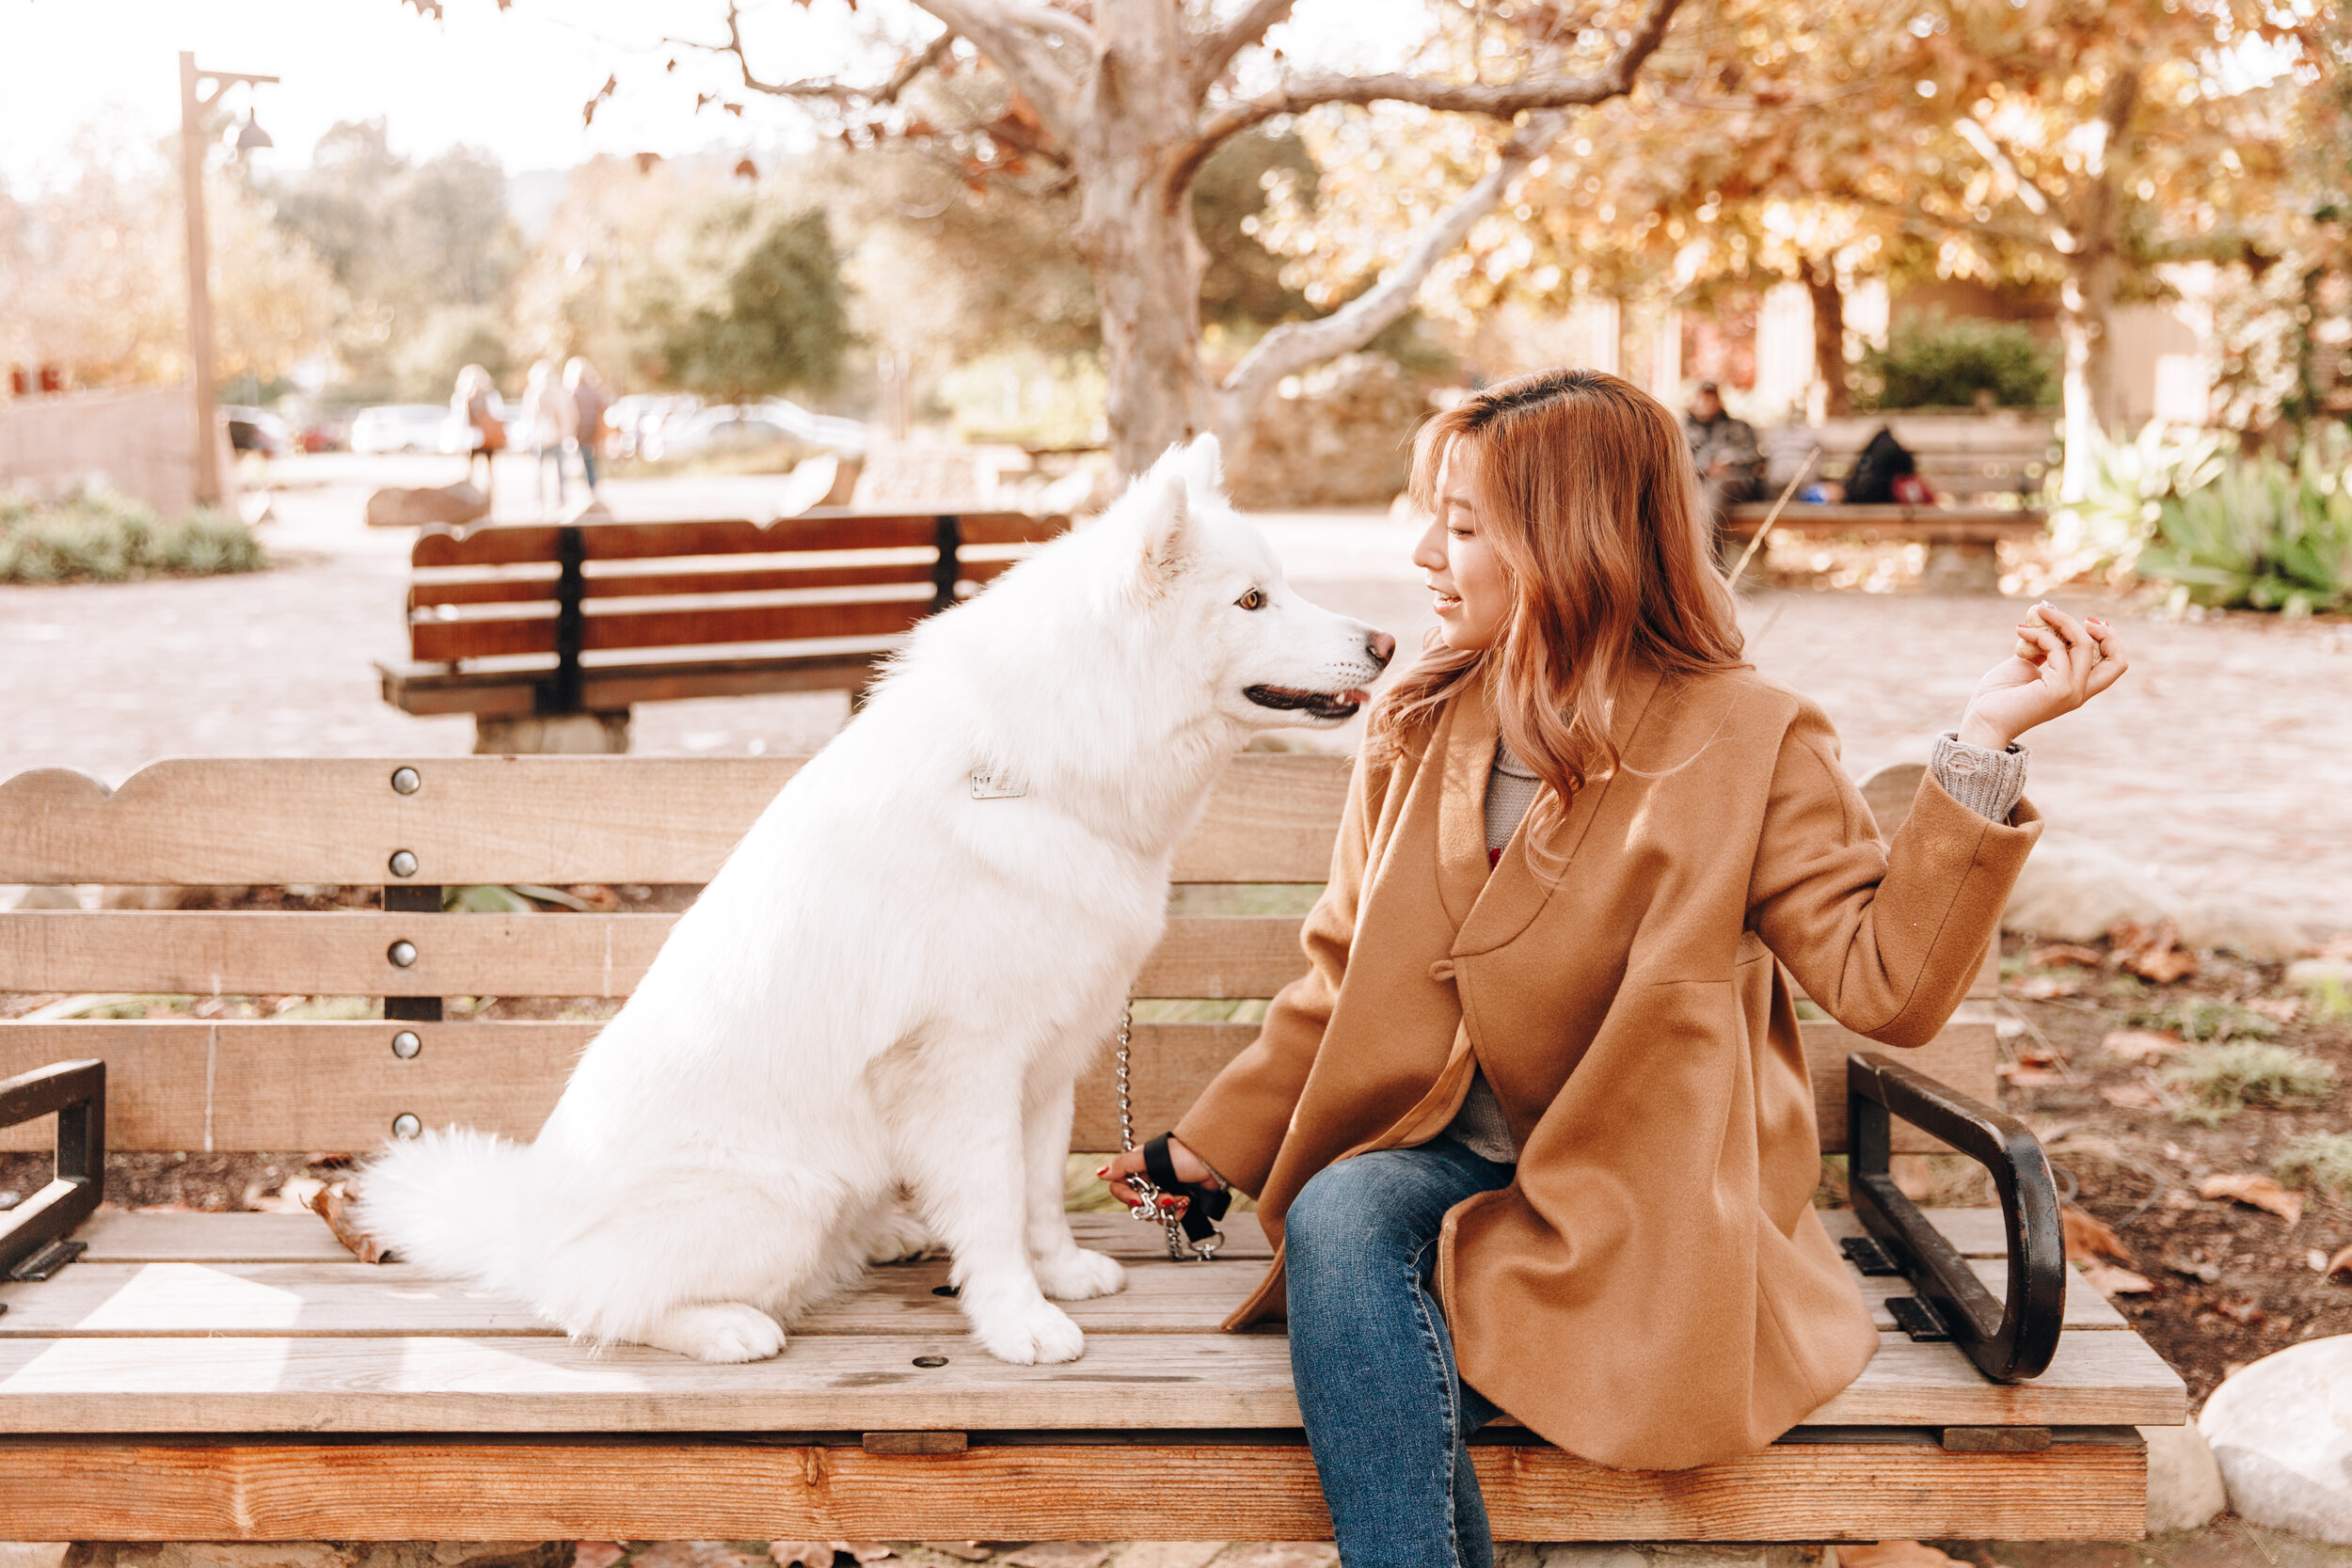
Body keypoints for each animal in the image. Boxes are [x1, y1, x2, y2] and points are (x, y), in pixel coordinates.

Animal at [362, 435, 1392, 1363]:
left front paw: (1060, 1272)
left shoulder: (1050, 1055)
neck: (1036, 771)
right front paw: (1018, 1320)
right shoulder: (969, 1063)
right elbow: (993, 1200)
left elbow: (1037, 1190)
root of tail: (526, 1230)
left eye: (1280, 585)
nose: (1385, 642)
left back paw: (888, 1234)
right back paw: (729, 1324)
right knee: (596, 1301)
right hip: (781, 1195)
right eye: (1251, 600)